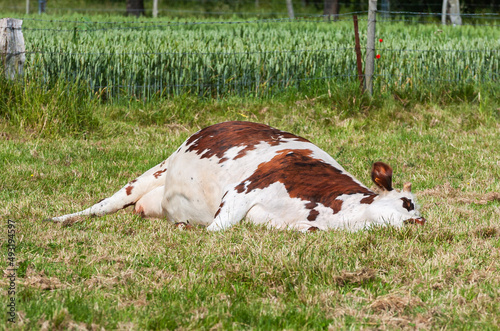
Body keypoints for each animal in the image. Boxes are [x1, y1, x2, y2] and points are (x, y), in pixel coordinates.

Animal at [48, 120, 426, 232]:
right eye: (407, 202)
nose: (420, 222)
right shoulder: (241, 193)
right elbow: (215, 229)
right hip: (155, 171)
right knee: (104, 204)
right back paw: (61, 218)